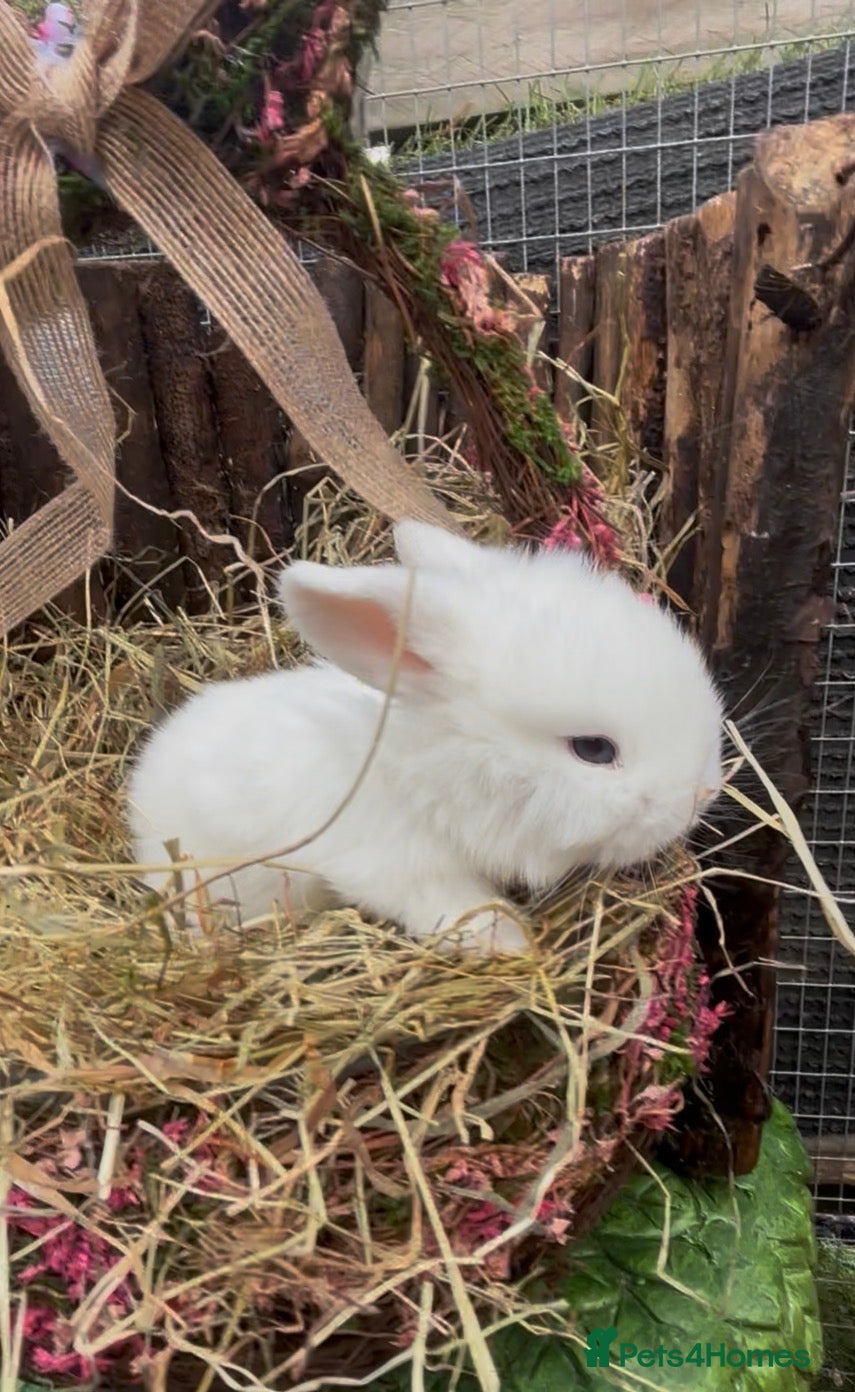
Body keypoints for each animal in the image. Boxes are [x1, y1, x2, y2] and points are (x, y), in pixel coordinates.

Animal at [127, 520, 723, 955]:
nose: (701, 795)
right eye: (593, 749)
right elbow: (452, 904)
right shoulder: (399, 863)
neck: (422, 773)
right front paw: (509, 941)